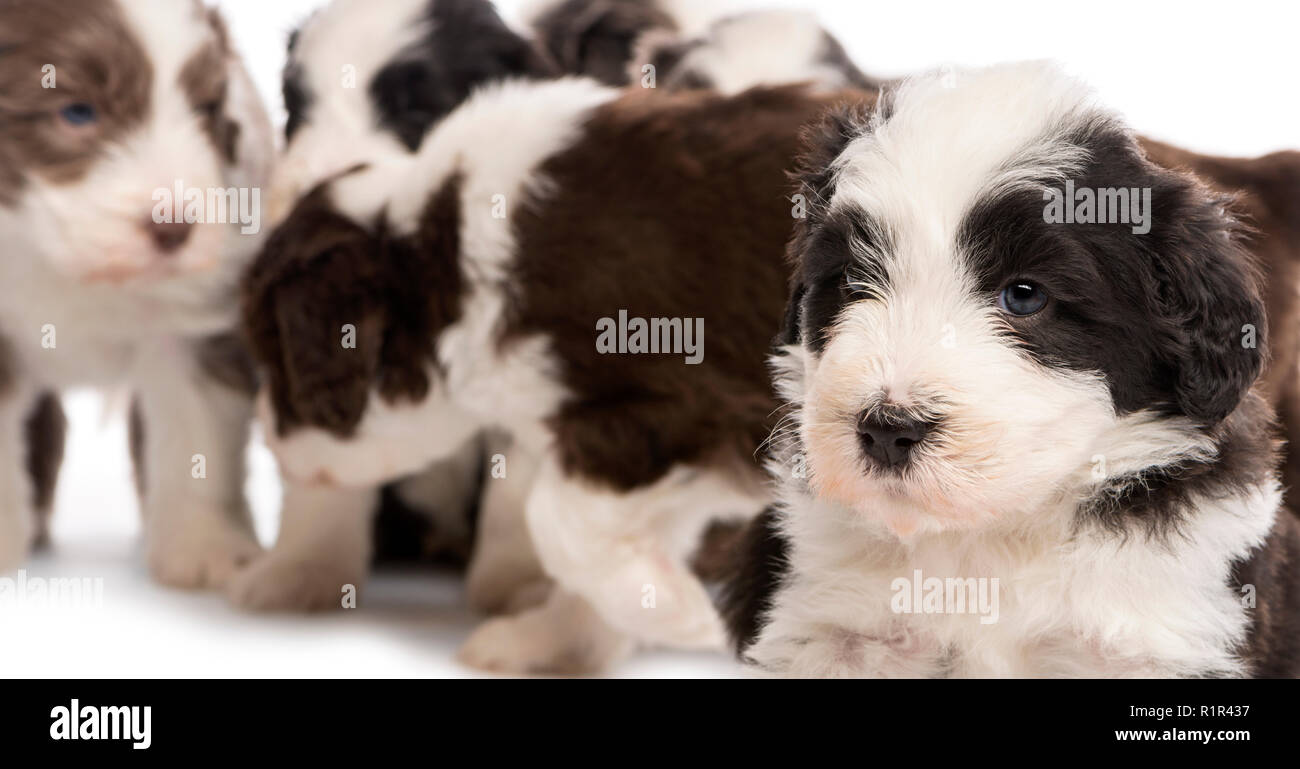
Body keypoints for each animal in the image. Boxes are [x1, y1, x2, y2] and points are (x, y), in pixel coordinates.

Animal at [246, 75, 868, 670]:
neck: (453, 253)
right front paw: (555, 643)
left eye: (279, 363)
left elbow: (554, 520)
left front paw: (683, 616)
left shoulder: (675, 408)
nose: (271, 445)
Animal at [722, 64, 1300, 680]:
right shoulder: (836, 630)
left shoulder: (1156, 641)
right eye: (855, 281)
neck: (993, 533)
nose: (887, 430)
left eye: (1024, 296)